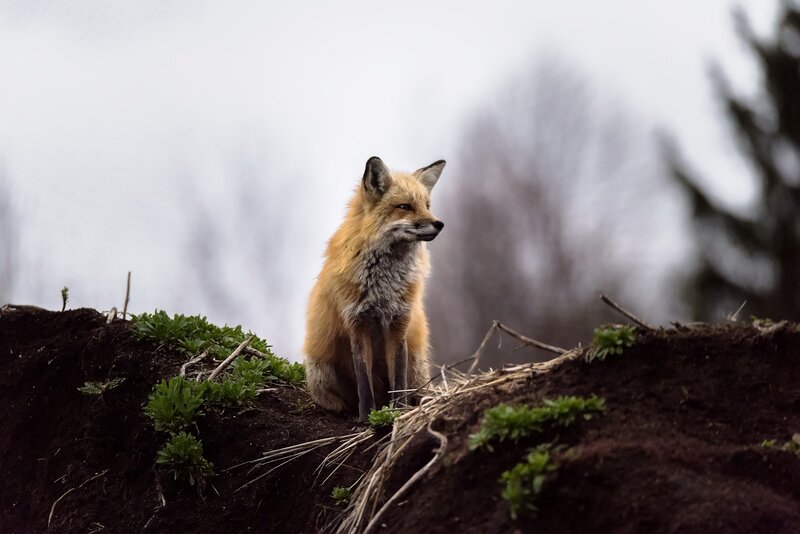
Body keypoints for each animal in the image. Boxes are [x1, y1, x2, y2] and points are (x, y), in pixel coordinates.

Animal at [303, 156, 446, 421]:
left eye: (427, 205)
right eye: (405, 206)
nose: (439, 224)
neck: (384, 286)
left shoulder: (399, 324)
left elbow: (398, 380)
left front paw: (398, 412)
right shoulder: (358, 324)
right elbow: (364, 381)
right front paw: (366, 418)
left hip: (416, 364)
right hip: (321, 371)